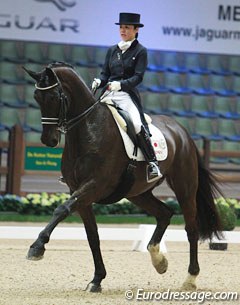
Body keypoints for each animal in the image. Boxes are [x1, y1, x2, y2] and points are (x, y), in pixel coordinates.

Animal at [23, 63, 222, 290]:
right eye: (36, 96)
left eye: (54, 96)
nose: (48, 140)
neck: (88, 128)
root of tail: (182, 131)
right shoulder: (79, 192)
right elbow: (92, 236)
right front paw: (97, 279)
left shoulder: (94, 185)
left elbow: (61, 209)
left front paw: (37, 247)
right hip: (137, 192)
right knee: (164, 213)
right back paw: (159, 261)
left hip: (184, 187)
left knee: (191, 228)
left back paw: (190, 278)